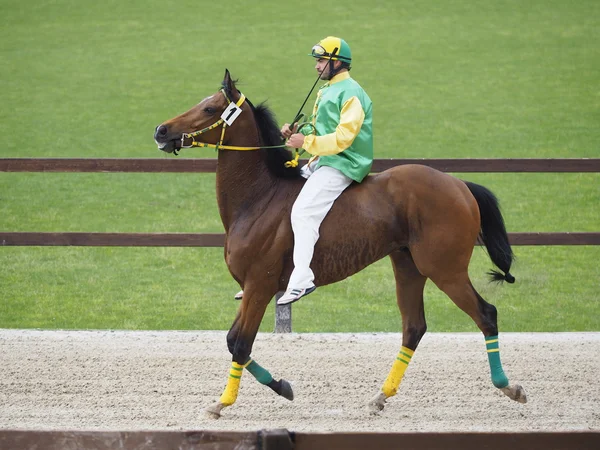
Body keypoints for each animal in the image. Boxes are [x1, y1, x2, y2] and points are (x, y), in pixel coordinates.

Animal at [154, 70, 524, 418]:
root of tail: (458, 184)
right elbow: (232, 341)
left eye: (209, 108)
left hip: (445, 269)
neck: (259, 198)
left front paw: (222, 403)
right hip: (408, 265)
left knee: (486, 314)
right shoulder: (250, 287)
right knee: (414, 327)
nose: (161, 130)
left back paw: (509, 386)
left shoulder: (260, 285)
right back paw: (380, 396)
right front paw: (281, 386)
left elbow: (242, 344)